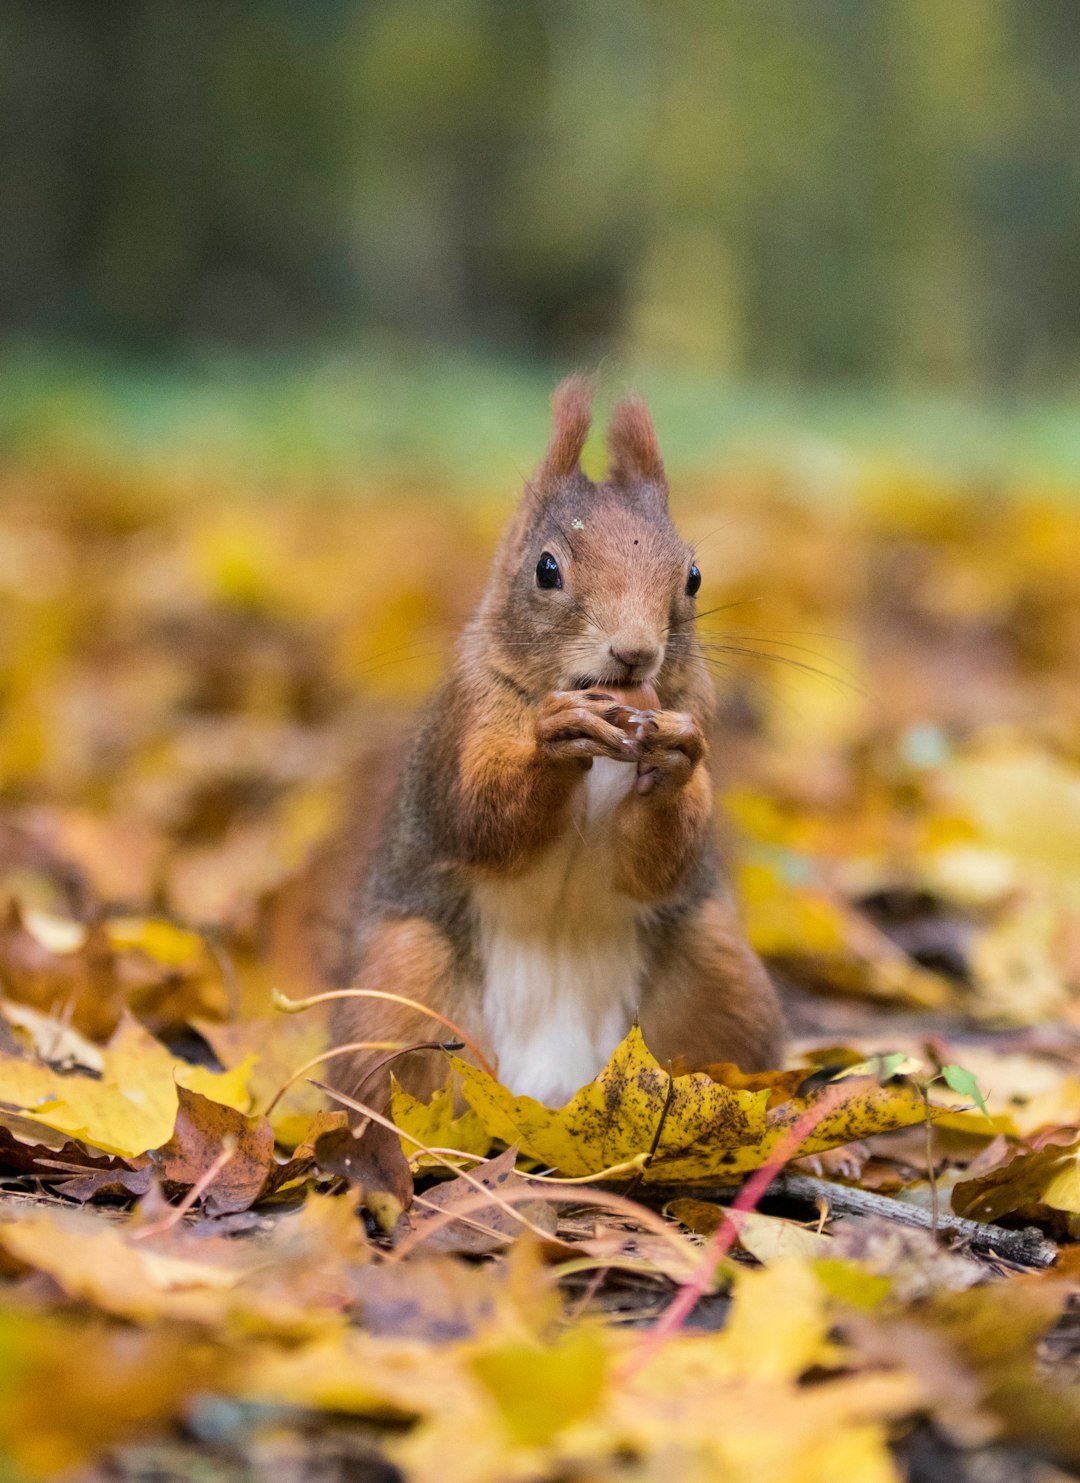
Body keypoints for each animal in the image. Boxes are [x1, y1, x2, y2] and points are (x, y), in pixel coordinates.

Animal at [324, 376, 783, 1109]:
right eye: (545, 569)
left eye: (693, 577)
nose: (634, 651)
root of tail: (553, 1098)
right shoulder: (466, 714)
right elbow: (481, 818)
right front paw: (556, 738)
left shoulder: (697, 711)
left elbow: (658, 863)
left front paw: (677, 760)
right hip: (401, 991)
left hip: (721, 976)